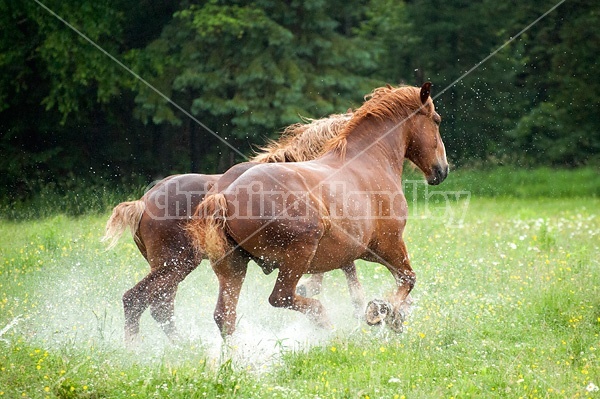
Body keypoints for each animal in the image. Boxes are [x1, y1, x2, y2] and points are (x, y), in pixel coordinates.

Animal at [102, 111, 364, 340]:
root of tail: (143, 202)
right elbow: (345, 269)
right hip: (176, 264)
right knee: (141, 301)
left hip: (171, 267)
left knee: (157, 306)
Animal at [190, 83, 448, 338]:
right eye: (436, 120)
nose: (442, 170)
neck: (369, 161)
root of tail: (224, 195)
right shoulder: (388, 243)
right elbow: (408, 278)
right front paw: (382, 312)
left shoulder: (359, 252)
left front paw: (393, 314)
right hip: (297, 255)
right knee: (281, 297)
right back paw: (322, 319)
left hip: (233, 266)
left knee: (225, 316)